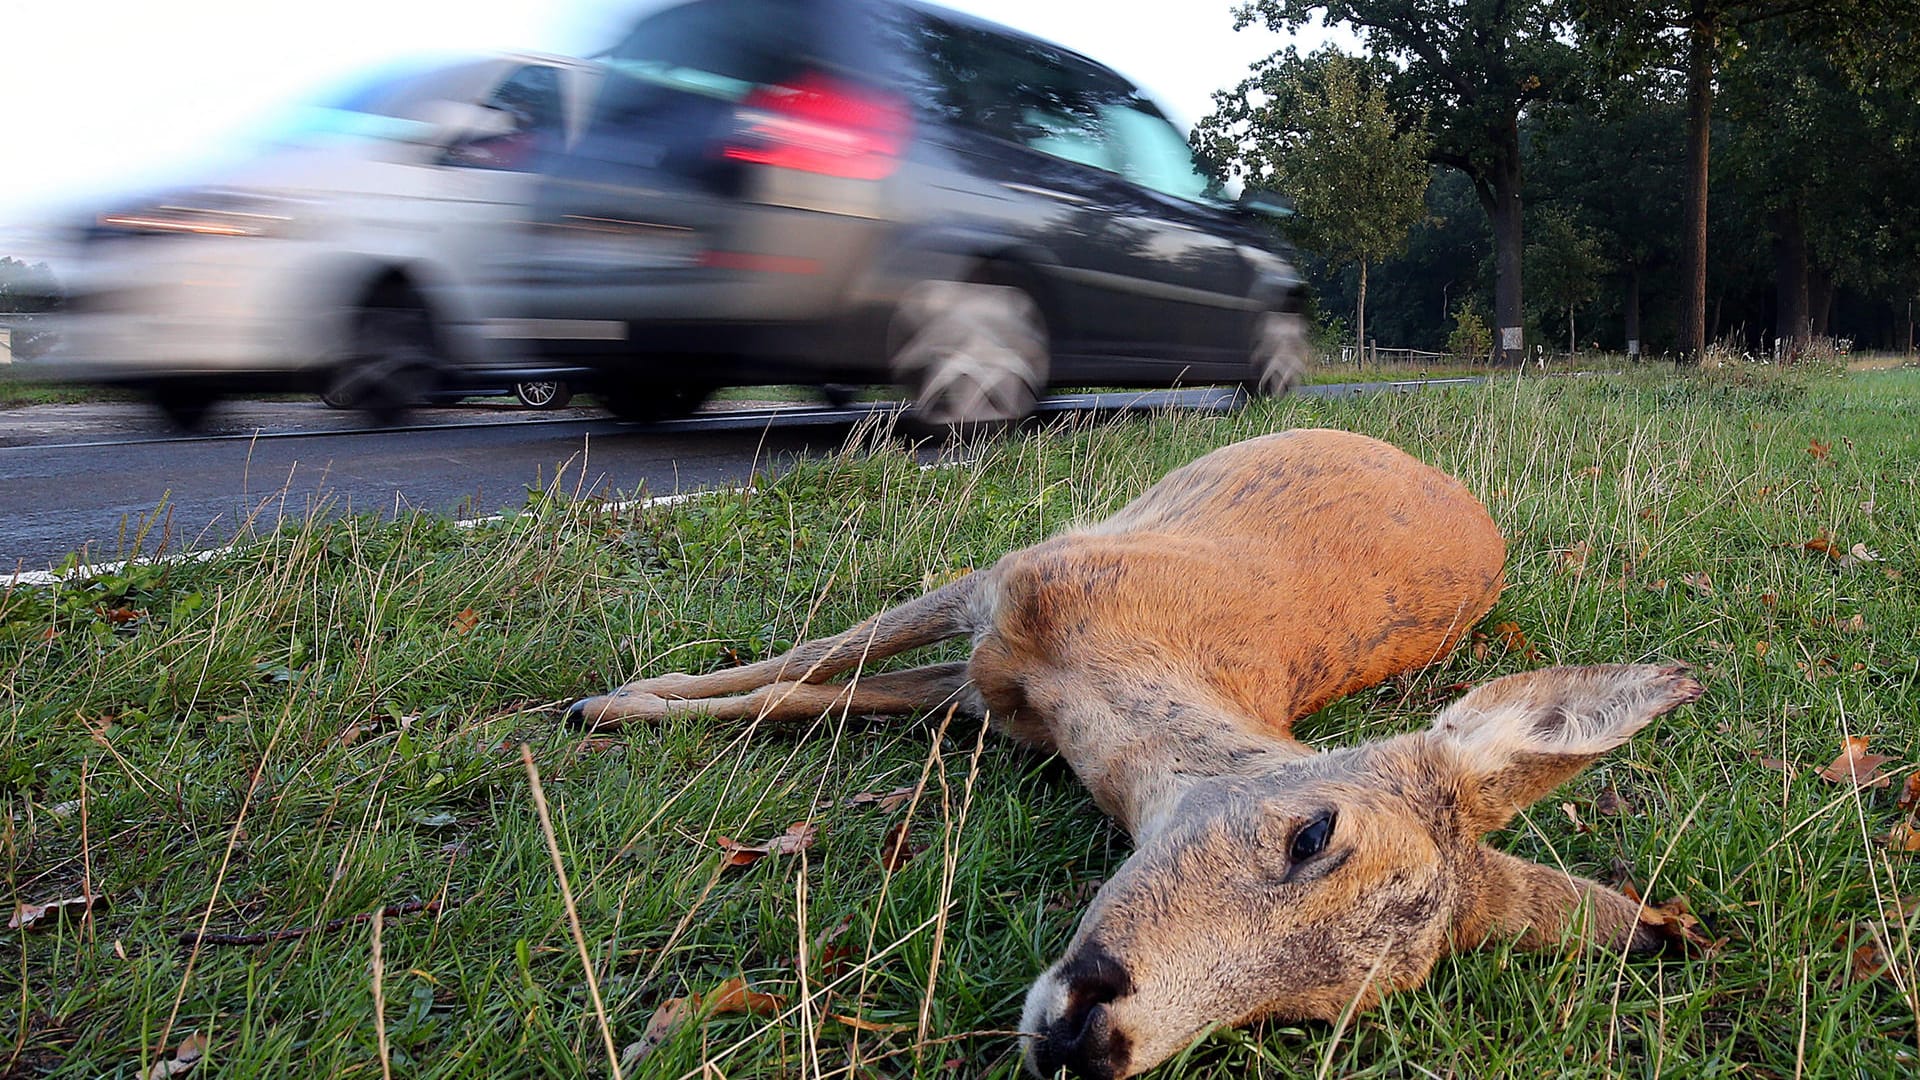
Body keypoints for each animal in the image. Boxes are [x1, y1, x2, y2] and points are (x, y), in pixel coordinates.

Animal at [560, 430, 1704, 1076]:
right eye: (1312, 834)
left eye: (1312, 1011)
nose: (1095, 1043)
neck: (1097, 682)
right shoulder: (1005, 582)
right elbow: (803, 665)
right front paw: (606, 701)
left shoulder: (989, 693)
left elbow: (811, 695)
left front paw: (619, 705)